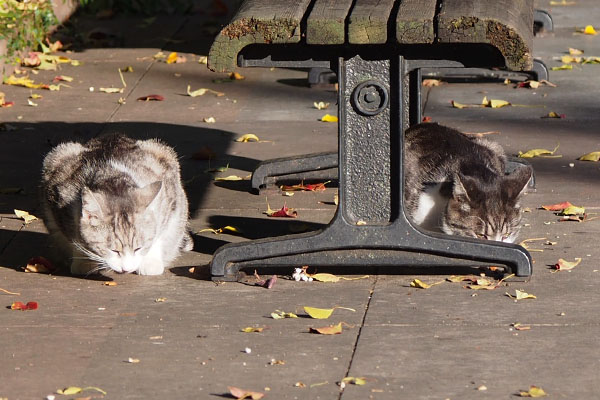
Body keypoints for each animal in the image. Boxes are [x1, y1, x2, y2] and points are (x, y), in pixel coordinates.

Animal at [41, 134, 192, 276]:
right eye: (113, 250)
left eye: (138, 248)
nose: (127, 269)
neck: (112, 177)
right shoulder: (59, 203)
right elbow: (74, 238)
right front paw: (84, 261)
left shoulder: (169, 196)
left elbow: (159, 232)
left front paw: (149, 261)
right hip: (58, 154)